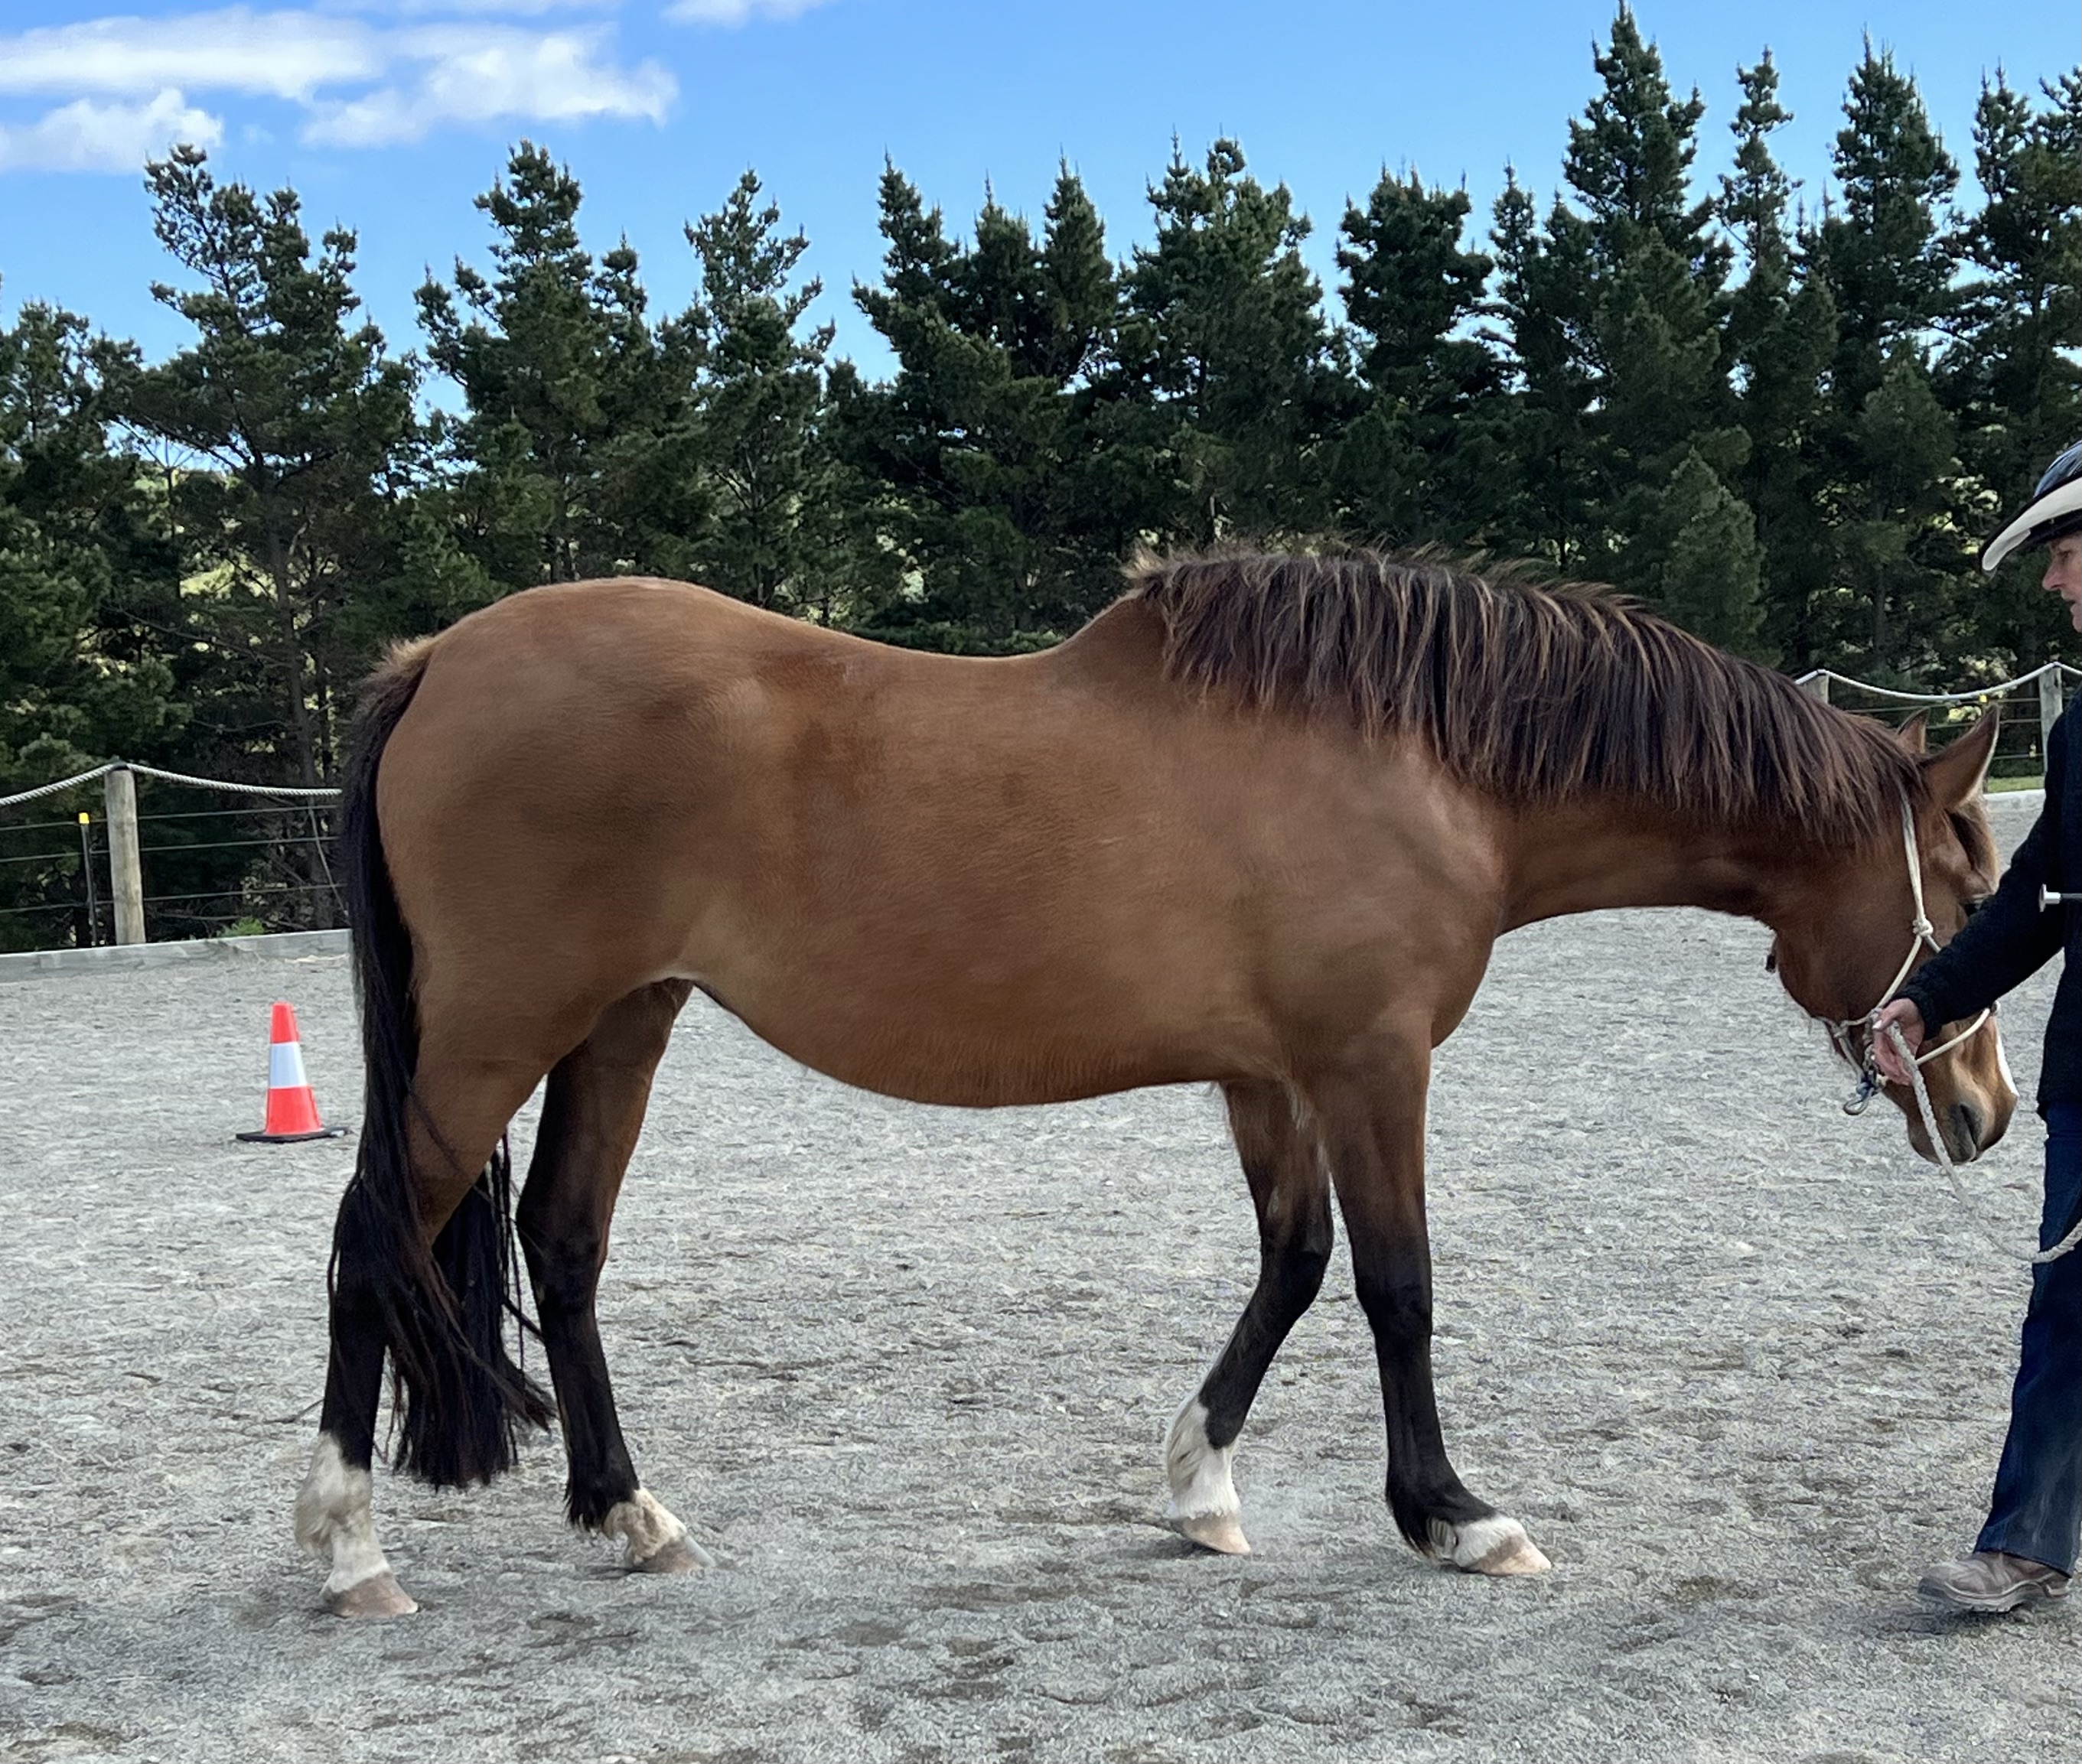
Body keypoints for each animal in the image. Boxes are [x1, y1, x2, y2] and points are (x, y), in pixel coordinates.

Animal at [293, 549, 2015, 1616]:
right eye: (1968, 878)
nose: (1988, 1110)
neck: (1422, 767)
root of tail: (439, 659)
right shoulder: (1369, 1063)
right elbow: (1396, 1284)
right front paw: (1454, 1514)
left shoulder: (1271, 1076)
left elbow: (1293, 1265)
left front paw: (1199, 1485)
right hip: (491, 1040)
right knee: (369, 1242)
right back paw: (350, 1547)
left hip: (621, 1023)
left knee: (562, 1248)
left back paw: (629, 1514)